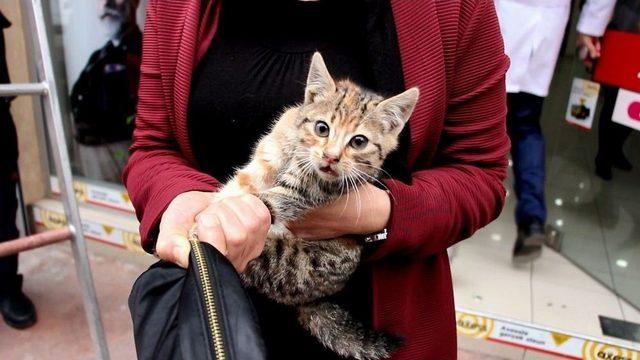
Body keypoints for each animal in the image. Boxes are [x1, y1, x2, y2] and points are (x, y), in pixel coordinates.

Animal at [215, 53, 418, 360]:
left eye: (359, 141)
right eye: (322, 128)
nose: (331, 157)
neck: (298, 152)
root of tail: (317, 297)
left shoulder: (307, 191)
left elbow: (269, 202)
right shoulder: (268, 155)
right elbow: (242, 185)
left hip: (281, 260)